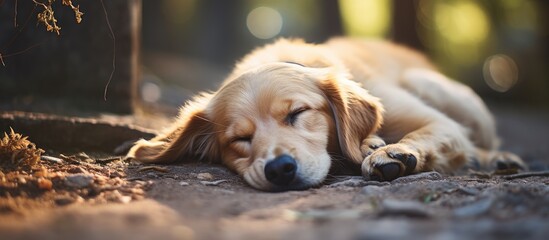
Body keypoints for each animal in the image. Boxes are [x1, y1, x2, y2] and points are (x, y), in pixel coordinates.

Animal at [126, 37, 524, 191]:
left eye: (298, 113)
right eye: (239, 139)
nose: (280, 170)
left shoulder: (437, 123)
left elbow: (426, 134)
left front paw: (392, 151)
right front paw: (374, 144)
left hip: (435, 87)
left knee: (481, 142)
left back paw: (498, 158)